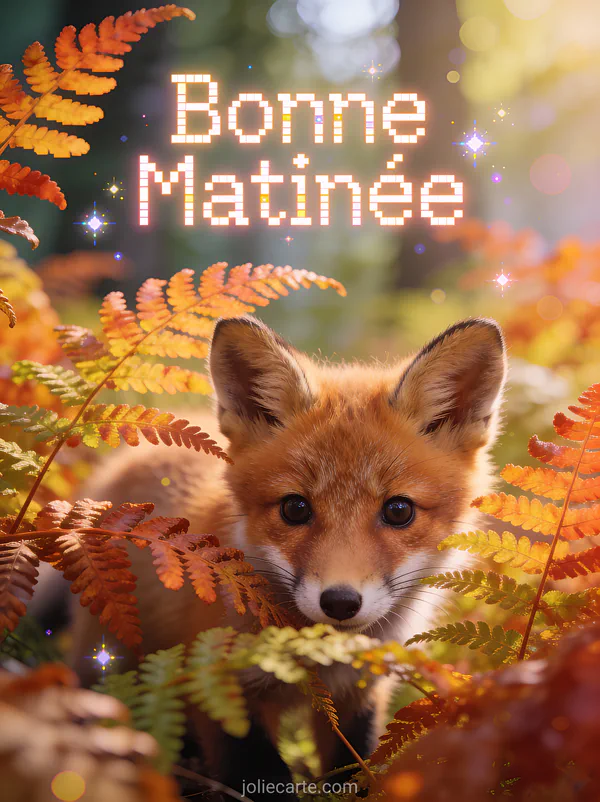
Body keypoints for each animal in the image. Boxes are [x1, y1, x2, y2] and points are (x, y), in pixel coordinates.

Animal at [68, 315, 507, 800]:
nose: (339, 602)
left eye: (398, 510)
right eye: (295, 508)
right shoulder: (222, 688)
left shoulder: (359, 696)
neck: (316, 658)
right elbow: (259, 776)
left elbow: (355, 771)